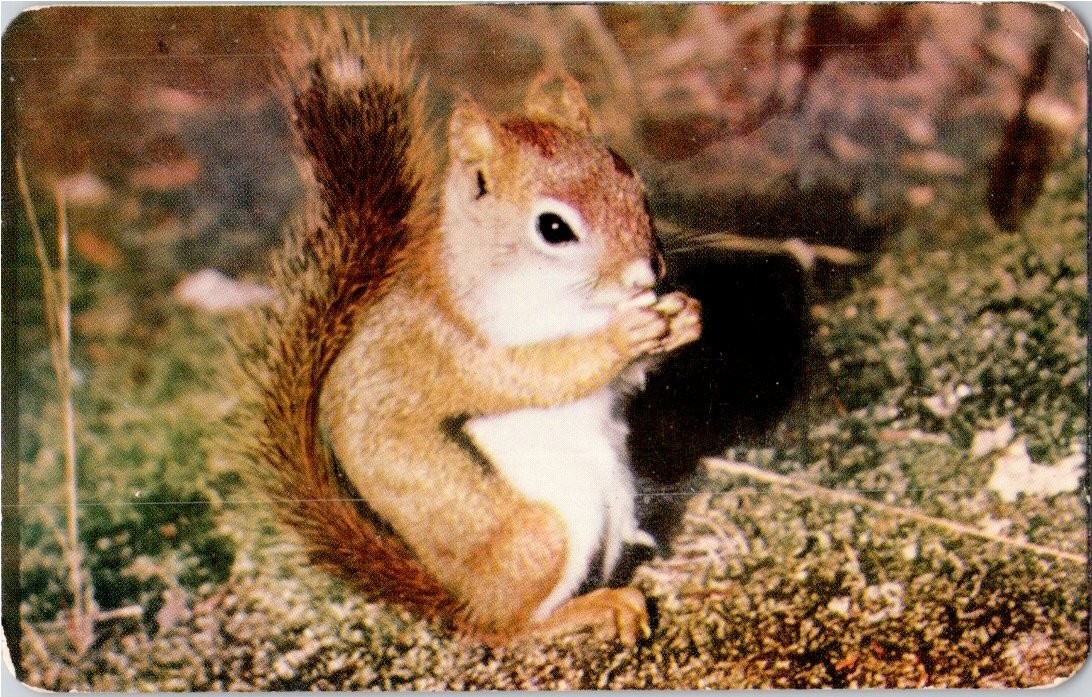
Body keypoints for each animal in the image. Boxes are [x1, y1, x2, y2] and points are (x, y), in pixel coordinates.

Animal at [229, 13, 701, 645]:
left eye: (636, 187)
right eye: (553, 228)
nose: (645, 275)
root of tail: (459, 603)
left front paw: (685, 316)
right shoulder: (460, 341)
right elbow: (537, 375)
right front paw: (618, 339)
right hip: (537, 540)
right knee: (509, 630)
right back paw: (593, 608)